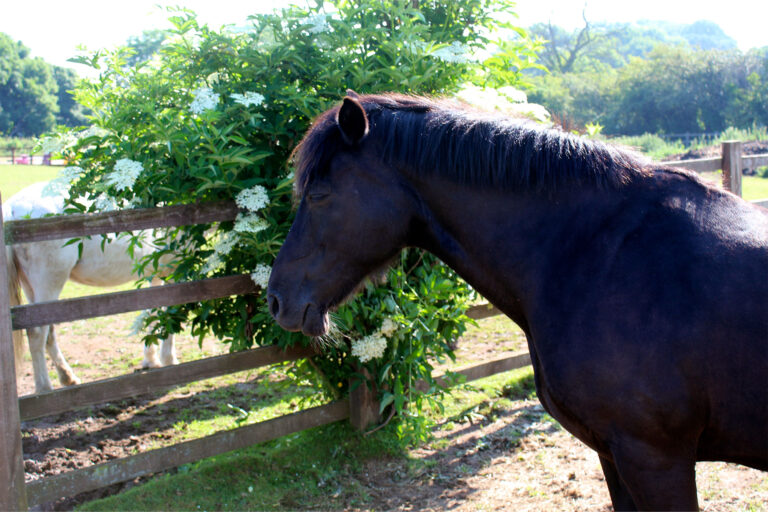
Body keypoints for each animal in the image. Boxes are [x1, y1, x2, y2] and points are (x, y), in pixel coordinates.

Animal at [3, 182, 177, 394]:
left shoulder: (156, 274)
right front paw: (169, 360)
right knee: (37, 334)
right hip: (48, 282)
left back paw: (67, 378)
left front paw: (151, 360)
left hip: (31, 288)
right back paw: (44, 388)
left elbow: (149, 315)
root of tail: (11, 208)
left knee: (48, 333)